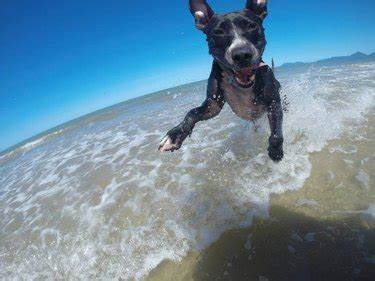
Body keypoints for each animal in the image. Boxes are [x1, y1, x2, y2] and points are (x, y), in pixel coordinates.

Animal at [159, 0, 284, 161]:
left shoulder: (273, 102)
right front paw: (175, 135)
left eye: (251, 26)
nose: (242, 55)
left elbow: (276, 133)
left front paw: (276, 150)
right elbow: (192, 112)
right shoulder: (213, 105)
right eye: (218, 32)